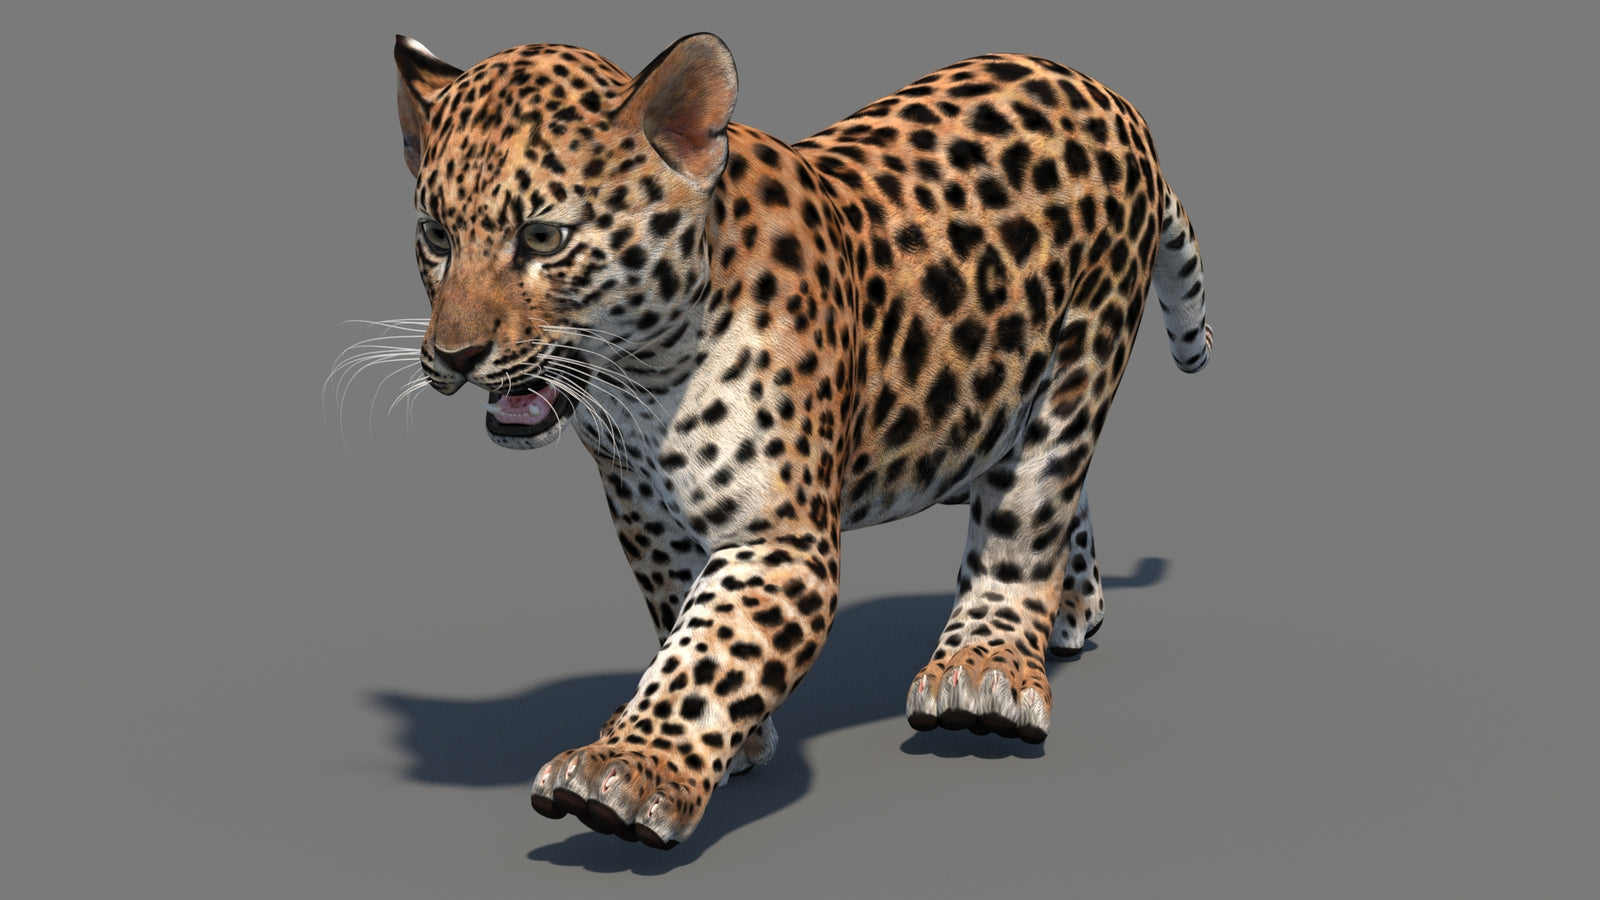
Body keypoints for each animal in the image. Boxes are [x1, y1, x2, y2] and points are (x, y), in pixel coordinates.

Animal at [383, 31, 1211, 849]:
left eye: (544, 237)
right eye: (436, 237)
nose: (454, 356)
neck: (645, 382)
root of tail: (1103, 91)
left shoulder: (780, 539)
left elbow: (711, 650)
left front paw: (630, 769)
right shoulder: (646, 517)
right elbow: (682, 616)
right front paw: (730, 743)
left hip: (1083, 349)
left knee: (1032, 502)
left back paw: (986, 668)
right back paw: (1070, 611)